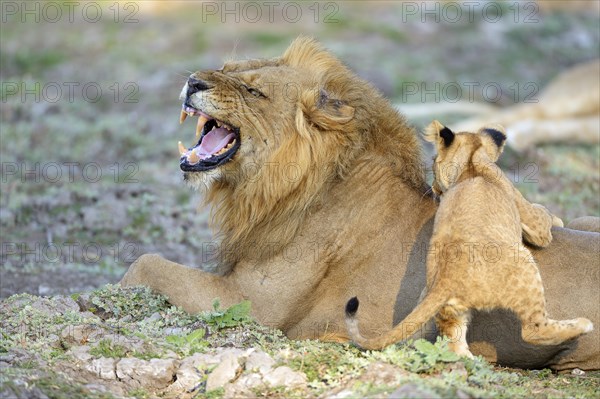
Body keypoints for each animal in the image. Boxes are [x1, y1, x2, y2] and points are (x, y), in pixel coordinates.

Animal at [344, 121, 592, 356]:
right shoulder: (531, 219)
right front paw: (558, 219)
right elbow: (544, 218)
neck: (471, 163)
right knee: (534, 330)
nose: (433, 188)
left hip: (446, 307)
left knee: (453, 341)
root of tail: (445, 279)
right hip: (524, 263)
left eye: (433, 162)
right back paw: (583, 325)